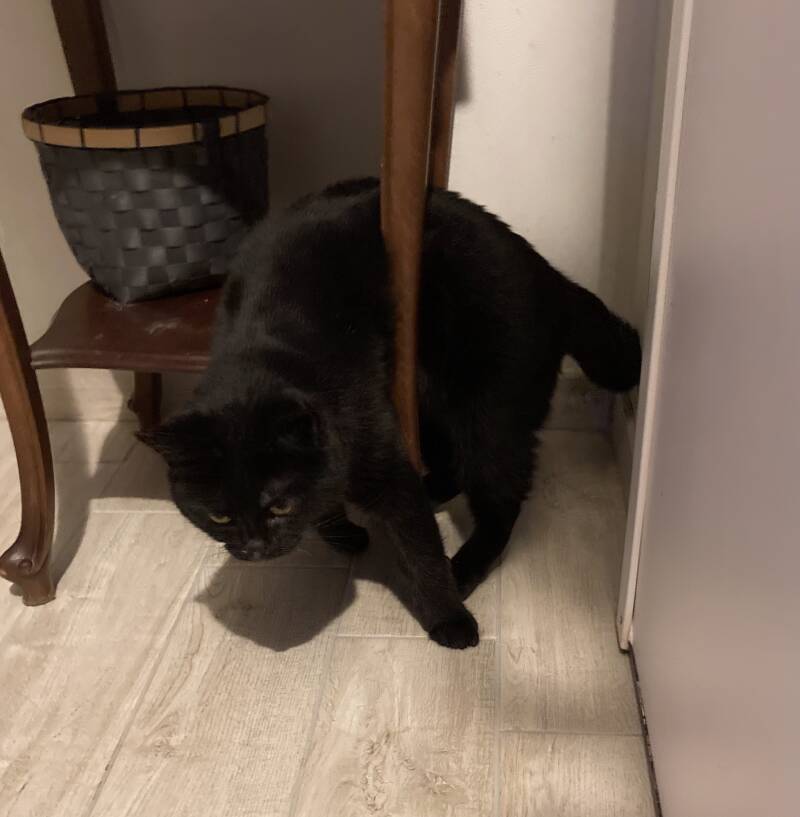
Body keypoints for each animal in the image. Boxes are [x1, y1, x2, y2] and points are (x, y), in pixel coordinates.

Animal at [142, 177, 641, 649]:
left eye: (279, 504)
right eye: (219, 517)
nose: (255, 548)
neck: (262, 355)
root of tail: (548, 274)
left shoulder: (383, 463)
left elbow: (421, 550)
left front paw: (450, 620)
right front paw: (344, 533)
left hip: (489, 412)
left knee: (500, 503)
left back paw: (463, 570)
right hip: (430, 397)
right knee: (456, 466)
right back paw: (435, 489)